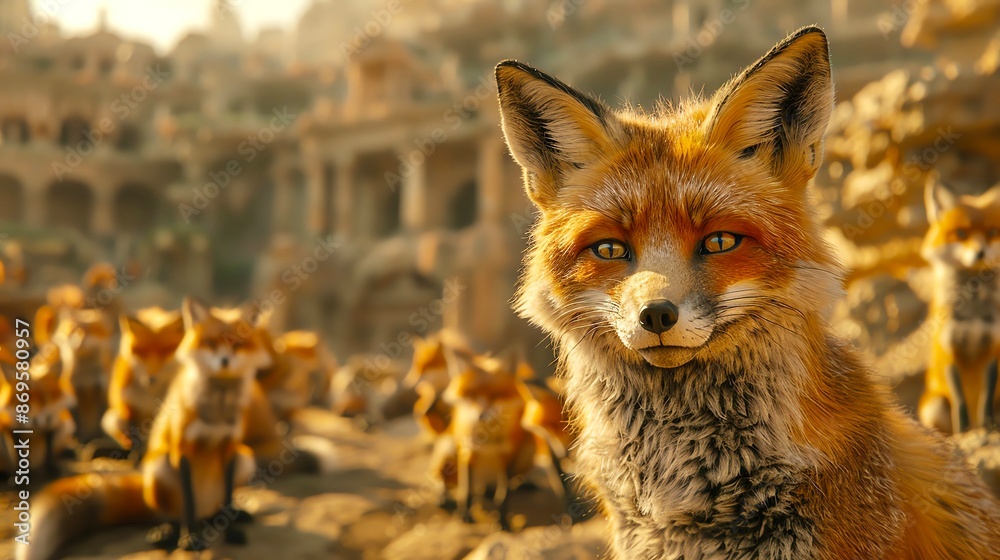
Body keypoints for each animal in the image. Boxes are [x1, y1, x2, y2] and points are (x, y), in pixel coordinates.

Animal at [101, 307, 185, 457]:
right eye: (142, 352)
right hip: (111, 417)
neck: (149, 396)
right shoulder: (126, 403)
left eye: (165, 352)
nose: (150, 379)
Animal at [919, 181, 1000, 434]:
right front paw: (963, 429)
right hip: (934, 406)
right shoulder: (949, 348)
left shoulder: (994, 345)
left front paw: (988, 424)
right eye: (961, 233)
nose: (980, 253)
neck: (973, 313)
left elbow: (986, 395)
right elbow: (959, 399)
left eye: (992, 232)